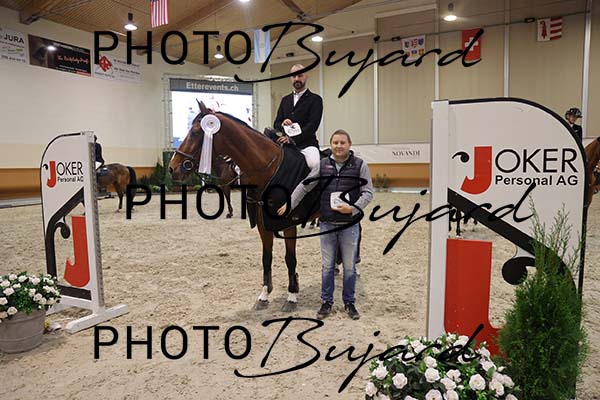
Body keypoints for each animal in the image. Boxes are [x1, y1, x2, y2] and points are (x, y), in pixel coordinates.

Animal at [169, 101, 317, 311]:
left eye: (196, 132)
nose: (172, 168)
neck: (268, 169)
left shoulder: (288, 224)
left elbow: (290, 258)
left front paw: (291, 297)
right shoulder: (263, 225)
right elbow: (266, 257)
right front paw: (264, 295)